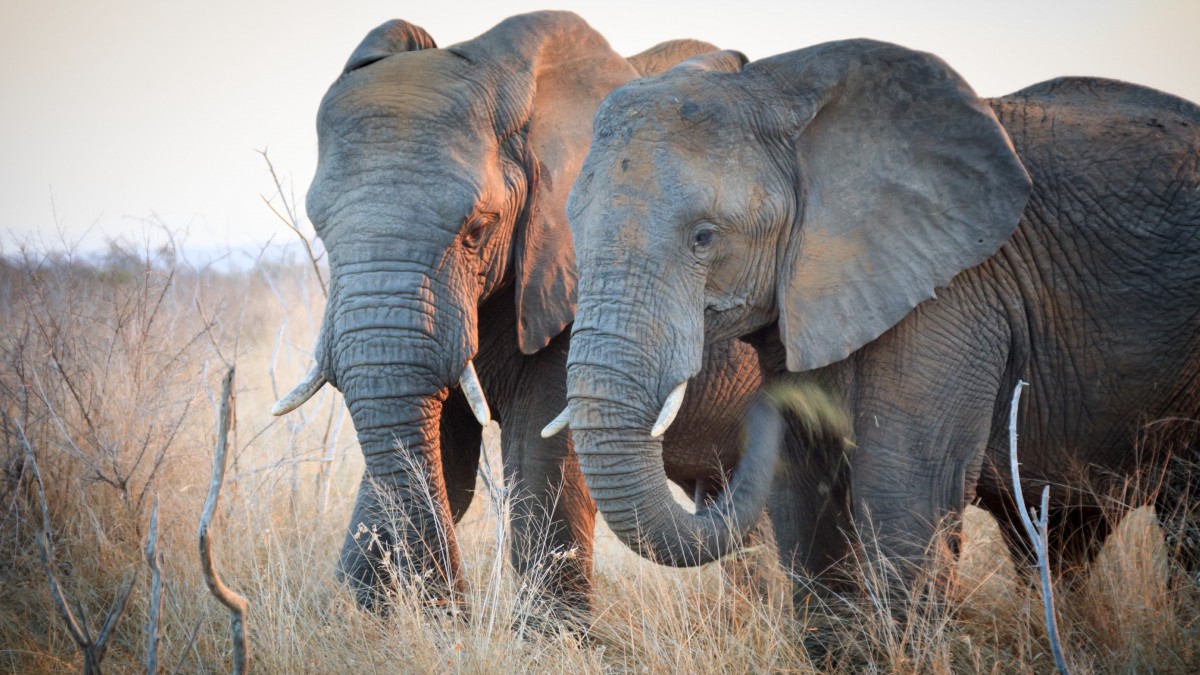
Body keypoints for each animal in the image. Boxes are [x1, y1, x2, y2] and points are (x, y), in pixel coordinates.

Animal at [270, 9, 768, 610]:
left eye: (477, 230)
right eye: (319, 230)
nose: (454, 612)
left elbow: (539, 459)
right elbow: (442, 457)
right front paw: (356, 614)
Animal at [559, 36, 1200, 593]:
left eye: (704, 237)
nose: (761, 408)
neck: (776, 90)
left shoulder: (954, 297)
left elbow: (906, 503)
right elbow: (806, 507)